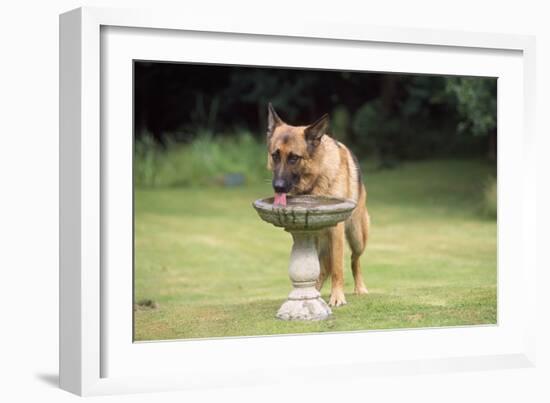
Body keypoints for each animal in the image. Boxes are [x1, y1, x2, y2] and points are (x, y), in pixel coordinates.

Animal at [268, 103, 370, 306]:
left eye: (294, 158)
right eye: (275, 155)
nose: (278, 187)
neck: (315, 180)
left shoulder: (336, 230)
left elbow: (338, 268)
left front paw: (337, 297)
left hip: (357, 237)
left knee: (354, 260)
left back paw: (359, 288)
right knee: (323, 268)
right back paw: (313, 292)